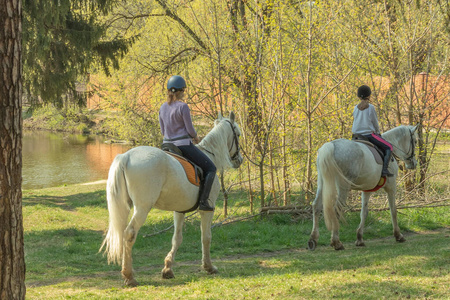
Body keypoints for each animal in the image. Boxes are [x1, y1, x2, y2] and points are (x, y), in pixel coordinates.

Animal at [100, 112, 244, 286]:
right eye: (238, 134)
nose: (239, 160)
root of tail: (126, 156)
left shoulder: (180, 210)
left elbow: (177, 238)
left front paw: (168, 269)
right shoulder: (207, 209)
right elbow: (206, 237)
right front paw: (209, 267)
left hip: (125, 205)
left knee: (122, 233)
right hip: (142, 208)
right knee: (129, 233)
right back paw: (129, 276)